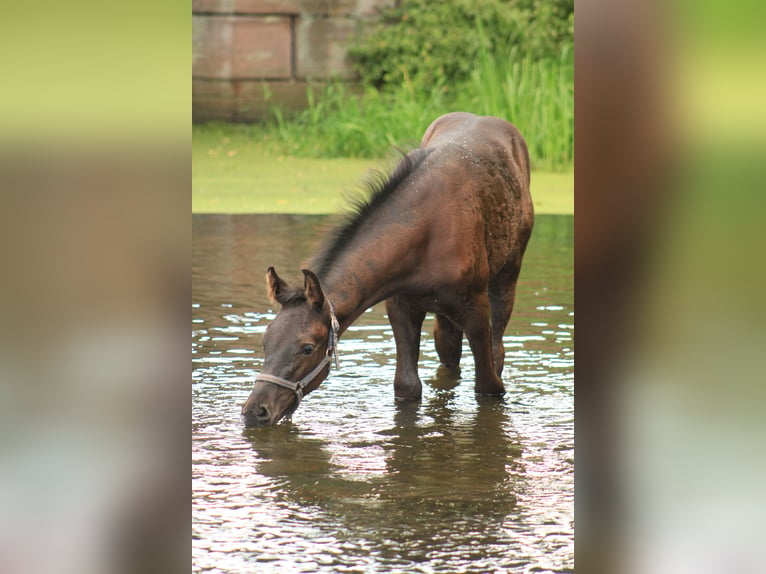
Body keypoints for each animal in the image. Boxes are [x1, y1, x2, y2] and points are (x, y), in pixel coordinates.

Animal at [244, 112, 536, 428]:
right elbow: (407, 385)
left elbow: (489, 385)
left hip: (507, 275)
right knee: (448, 351)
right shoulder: (400, 304)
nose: (255, 411)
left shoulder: (476, 306)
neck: (423, 238)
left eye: (308, 347)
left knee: (497, 348)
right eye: (265, 341)